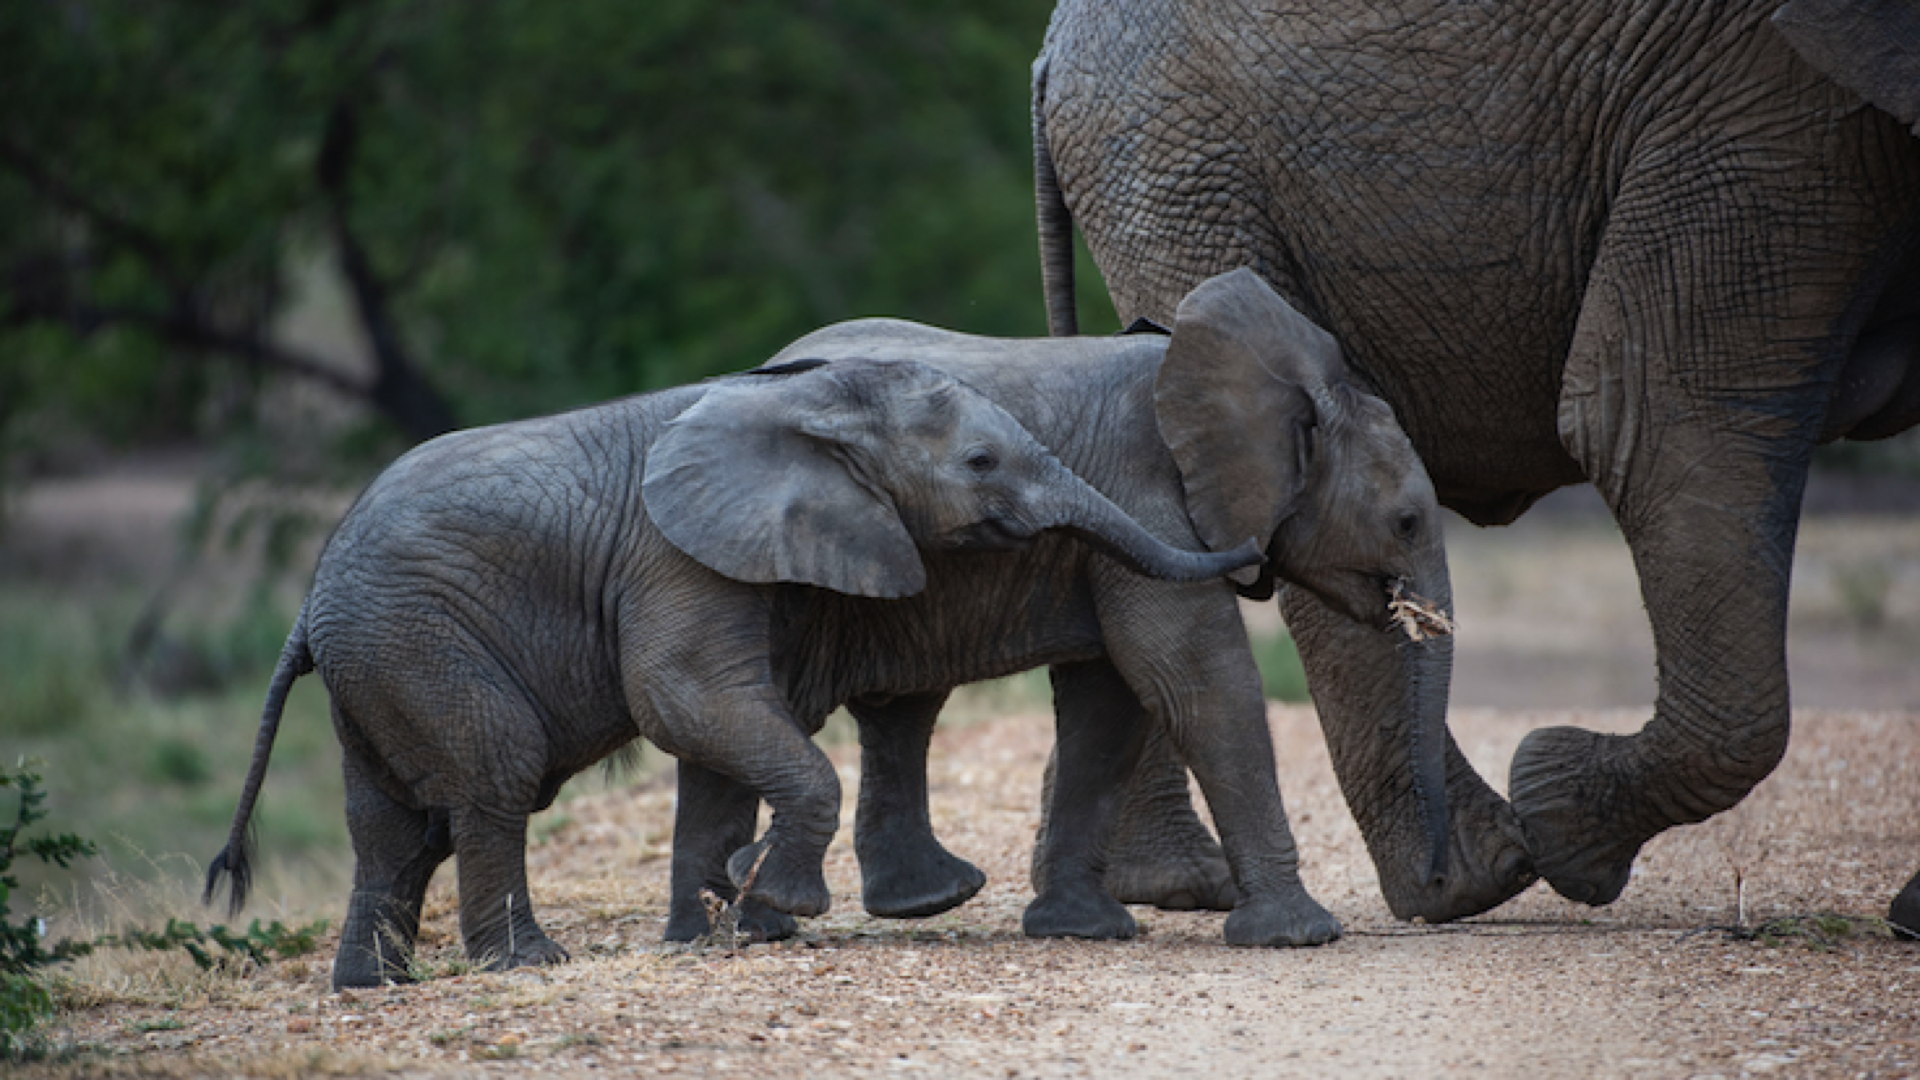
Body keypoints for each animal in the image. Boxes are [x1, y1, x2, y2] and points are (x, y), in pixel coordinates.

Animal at [206, 342, 1305, 983]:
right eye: (983, 463)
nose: (1260, 551)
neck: (810, 404)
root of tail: (306, 607)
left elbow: (718, 733)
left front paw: (726, 921)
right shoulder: (676, 553)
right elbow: (684, 699)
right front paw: (773, 904)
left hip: (380, 659)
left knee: (392, 827)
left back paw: (374, 984)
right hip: (422, 638)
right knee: (493, 778)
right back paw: (526, 964)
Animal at [748, 267, 1451, 941]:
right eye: (1408, 523)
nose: (1436, 883)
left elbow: (1110, 704)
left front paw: (1080, 927)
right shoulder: (1145, 496)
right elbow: (1197, 682)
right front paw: (1300, 935)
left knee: (902, 709)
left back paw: (922, 899)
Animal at [1029, 0, 1920, 926]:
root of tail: (1050, 50)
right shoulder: (1765, 108)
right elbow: (1660, 418)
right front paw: (1560, 817)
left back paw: (1182, 886)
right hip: (1178, 158)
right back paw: (1473, 879)